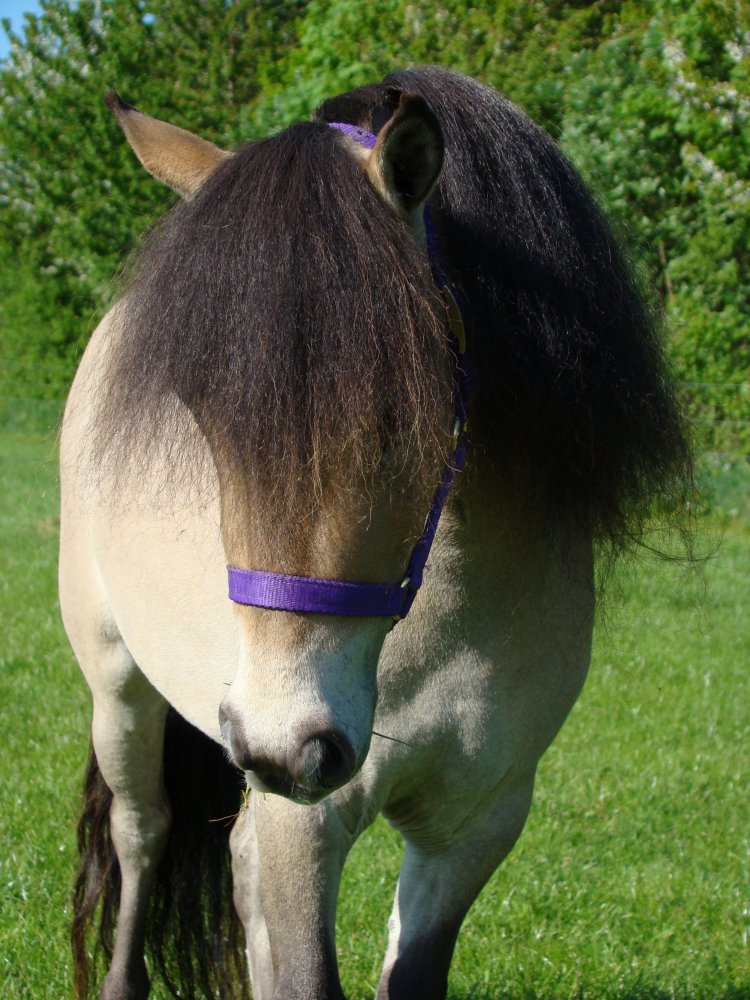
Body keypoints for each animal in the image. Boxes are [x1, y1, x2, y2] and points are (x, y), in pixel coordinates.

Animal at [60, 67, 691, 1000]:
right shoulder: (303, 826)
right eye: (200, 418)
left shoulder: (475, 826)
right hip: (121, 690)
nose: (282, 742)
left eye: (398, 413)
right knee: (145, 835)